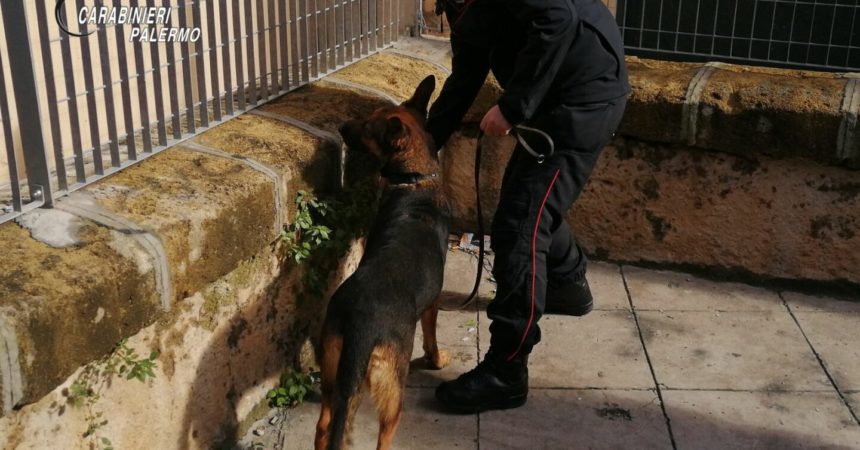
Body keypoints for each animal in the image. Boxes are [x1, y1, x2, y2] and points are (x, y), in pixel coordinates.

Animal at [314, 77, 450, 450]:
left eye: (367, 126)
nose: (341, 128)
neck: (414, 180)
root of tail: (360, 324)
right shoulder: (433, 304)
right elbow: (432, 338)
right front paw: (436, 360)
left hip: (332, 369)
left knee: (325, 425)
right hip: (392, 391)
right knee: (384, 435)